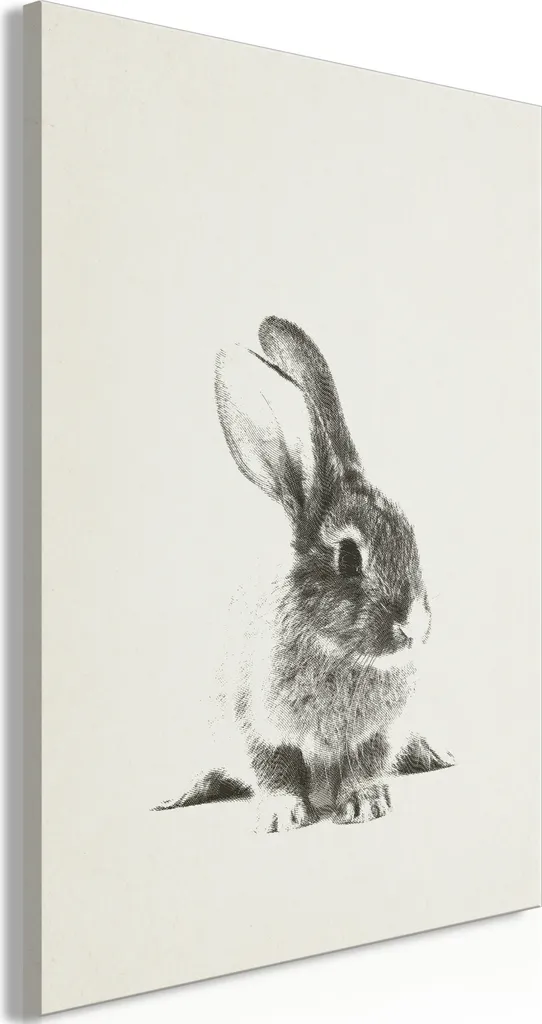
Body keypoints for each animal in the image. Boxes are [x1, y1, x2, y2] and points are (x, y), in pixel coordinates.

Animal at [153, 316, 454, 832]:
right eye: (349, 558)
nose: (415, 626)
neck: (337, 649)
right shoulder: (257, 725)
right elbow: (275, 768)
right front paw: (280, 817)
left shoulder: (377, 732)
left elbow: (367, 764)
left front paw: (365, 806)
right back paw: (182, 794)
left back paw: (436, 755)